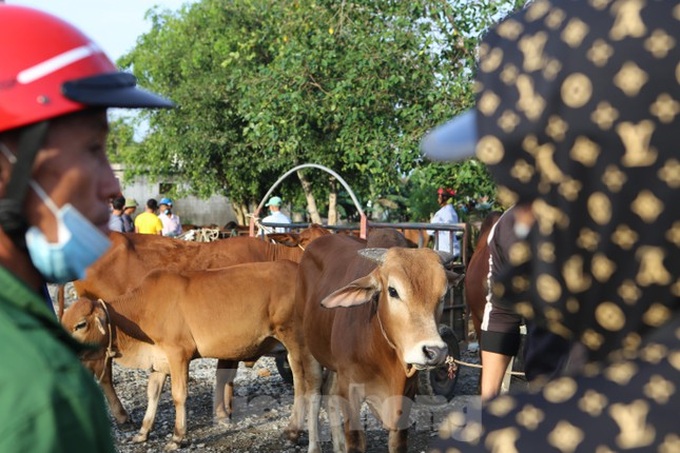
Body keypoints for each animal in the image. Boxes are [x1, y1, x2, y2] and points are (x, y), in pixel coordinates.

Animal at [61, 260, 307, 450]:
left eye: (80, 325)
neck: (141, 312)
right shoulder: (159, 361)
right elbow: (152, 395)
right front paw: (142, 432)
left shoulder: (178, 354)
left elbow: (179, 395)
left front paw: (178, 437)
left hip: (295, 344)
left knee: (303, 387)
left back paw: (293, 432)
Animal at [68, 225, 330, 427]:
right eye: (309, 244)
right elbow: (225, 373)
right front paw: (223, 412)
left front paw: (226, 409)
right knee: (102, 372)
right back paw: (121, 415)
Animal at [290, 232, 464, 452]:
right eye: (393, 291)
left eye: (443, 295)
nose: (435, 351)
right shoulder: (350, 389)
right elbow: (355, 440)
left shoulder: (406, 395)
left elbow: (397, 443)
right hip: (307, 347)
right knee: (313, 394)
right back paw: (314, 446)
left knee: (330, 394)